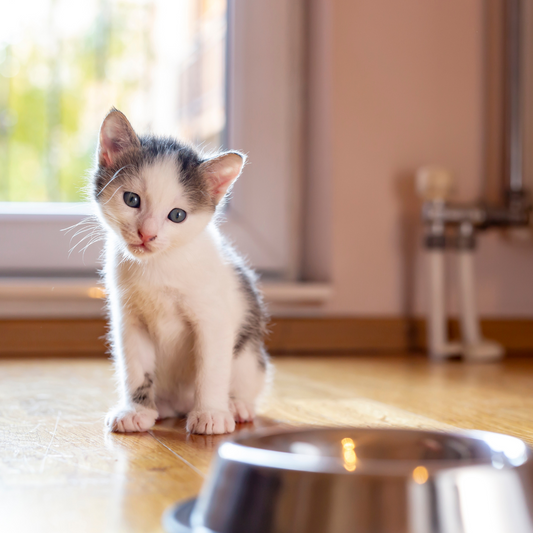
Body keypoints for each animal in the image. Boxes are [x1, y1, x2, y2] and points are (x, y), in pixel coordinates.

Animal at [90, 110, 270, 434]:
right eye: (132, 199)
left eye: (177, 215)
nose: (146, 234)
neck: (160, 265)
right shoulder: (129, 320)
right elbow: (136, 366)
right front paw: (136, 410)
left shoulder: (214, 318)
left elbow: (211, 367)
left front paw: (211, 414)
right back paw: (159, 407)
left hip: (249, 357)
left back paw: (236, 406)